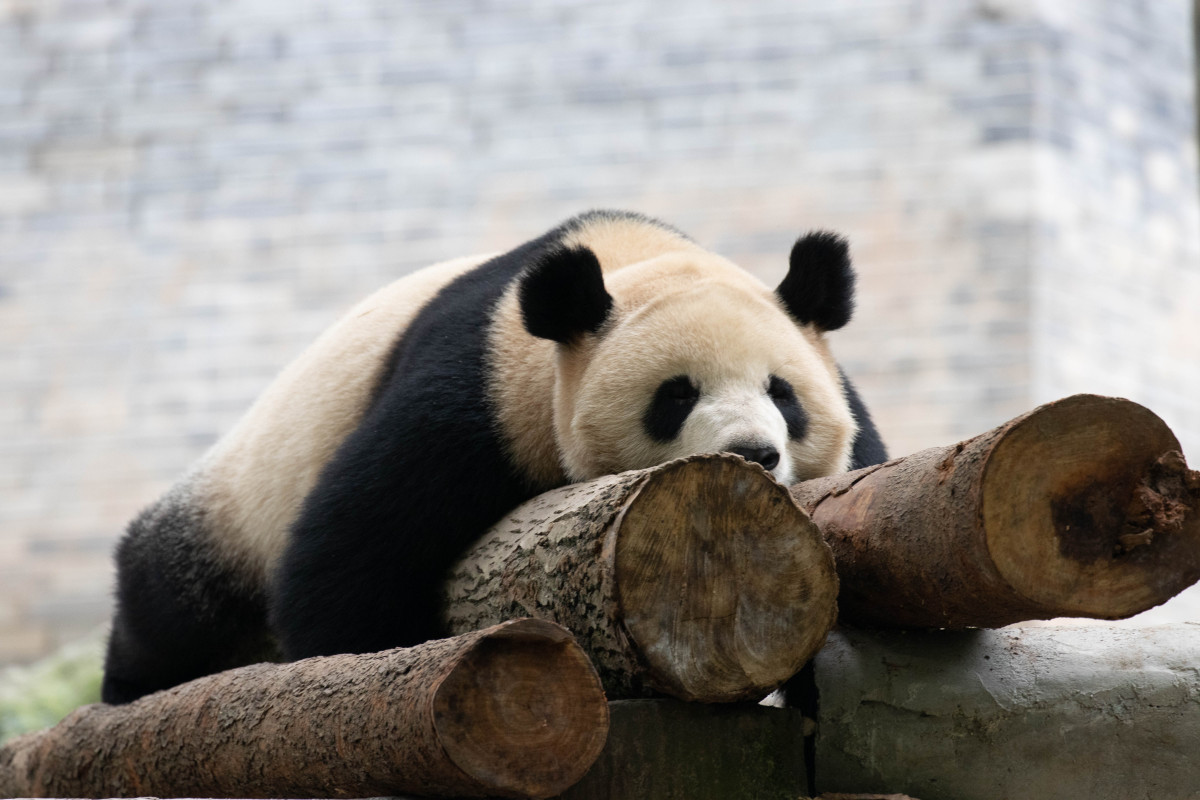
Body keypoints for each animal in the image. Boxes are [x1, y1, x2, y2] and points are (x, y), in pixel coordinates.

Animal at [103, 209, 888, 705]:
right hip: (232, 508)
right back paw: (127, 683)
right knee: (172, 598)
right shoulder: (478, 397)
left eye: (782, 393)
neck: (625, 258)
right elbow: (352, 549)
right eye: (675, 396)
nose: (755, 454)